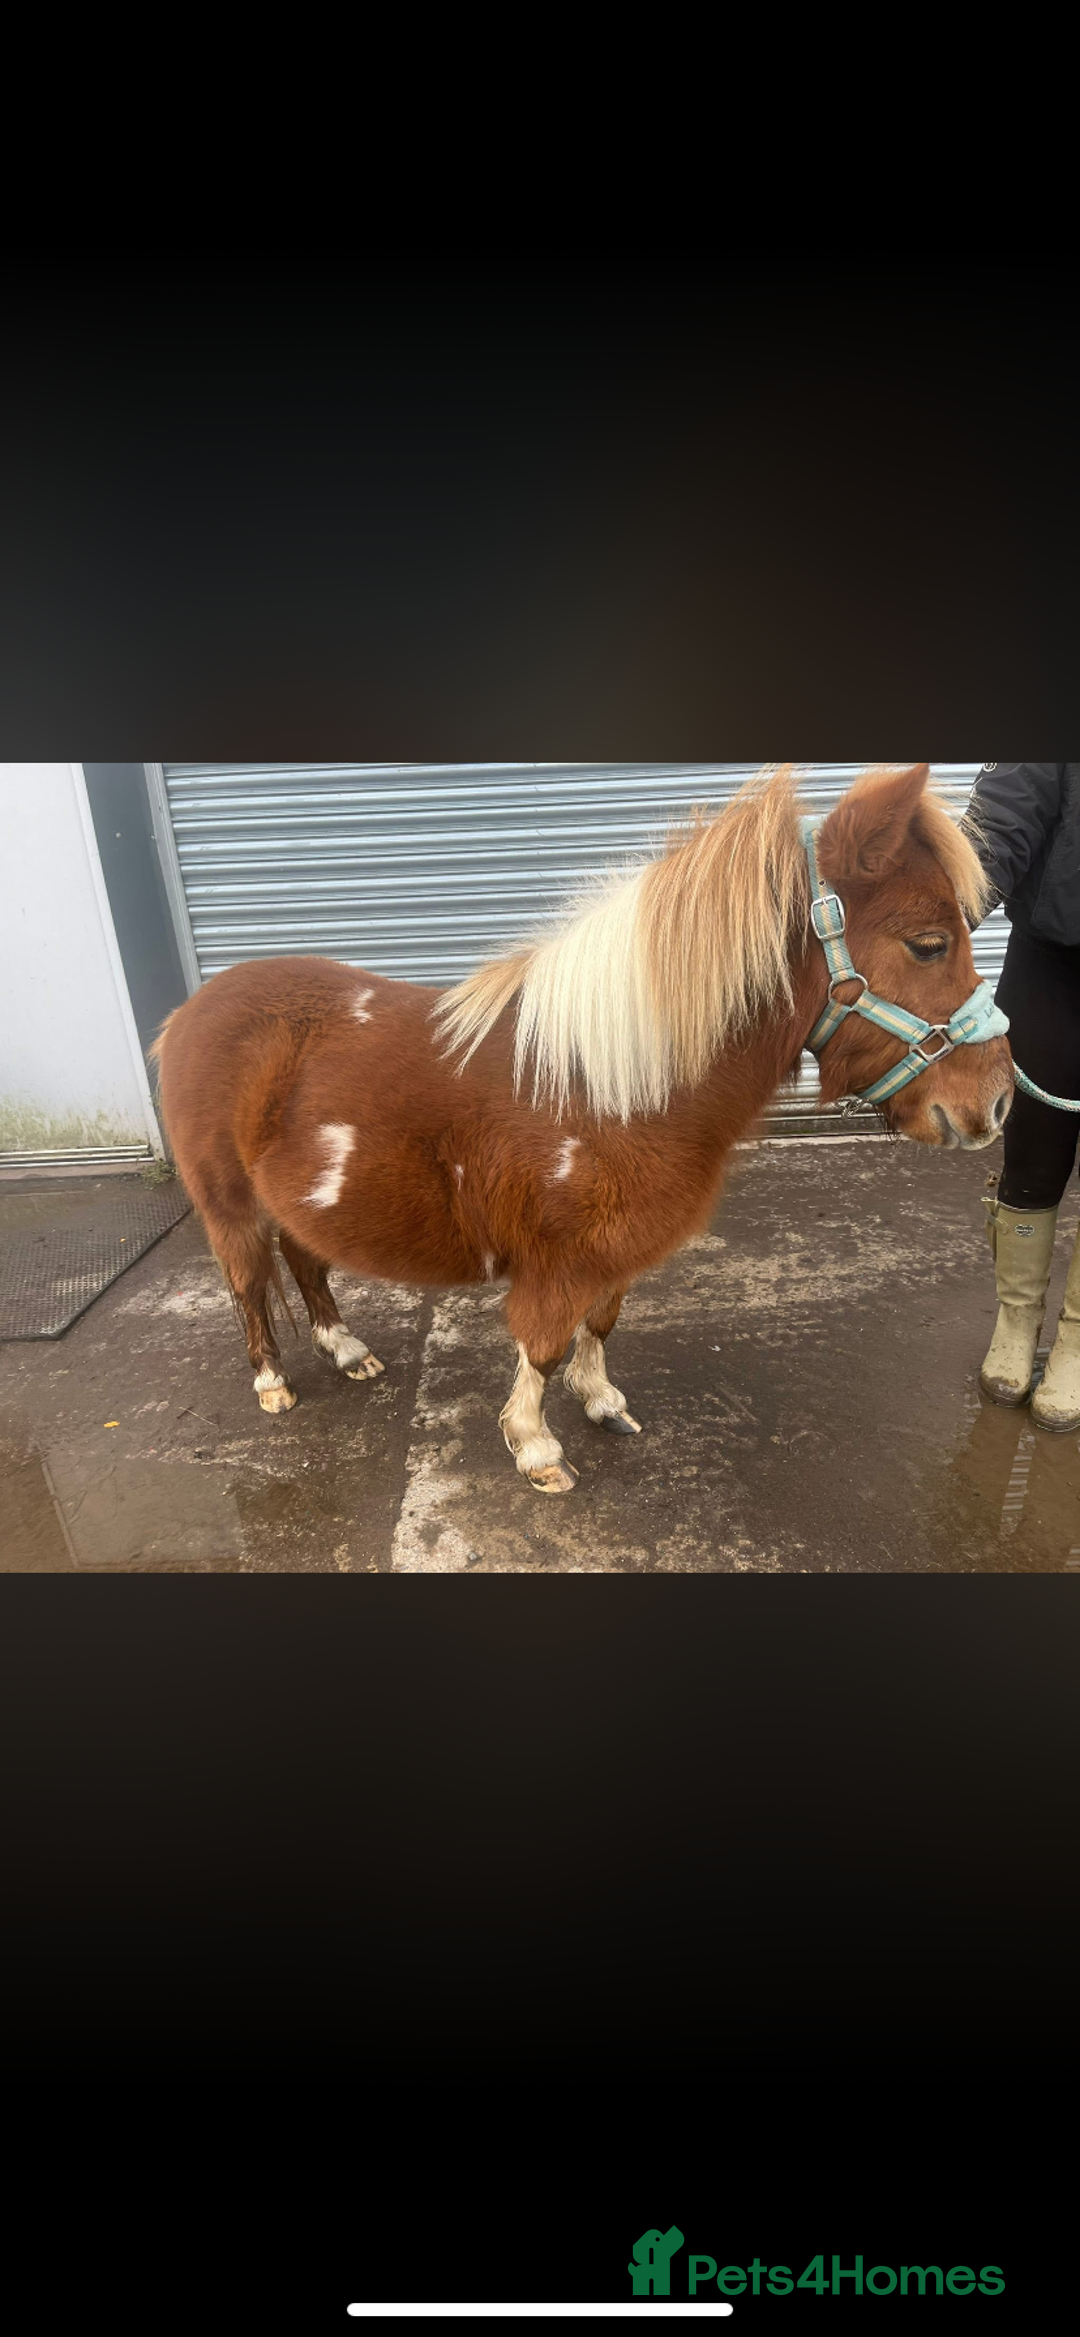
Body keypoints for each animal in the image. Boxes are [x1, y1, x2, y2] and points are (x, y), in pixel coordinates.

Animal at [152, 762, 1013, 1494]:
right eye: (929, 943)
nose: (999, 1102)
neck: (608, 1082)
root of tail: (190, 1011)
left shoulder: (614, 1252)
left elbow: (601, 1323)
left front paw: (600, 1400)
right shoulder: (557, 1262)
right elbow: (543, 1344)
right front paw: (535, 1446)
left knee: (306, 1262)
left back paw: (346, 1348)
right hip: (228, 1202)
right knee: (248, 1282)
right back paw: (272, 1381)